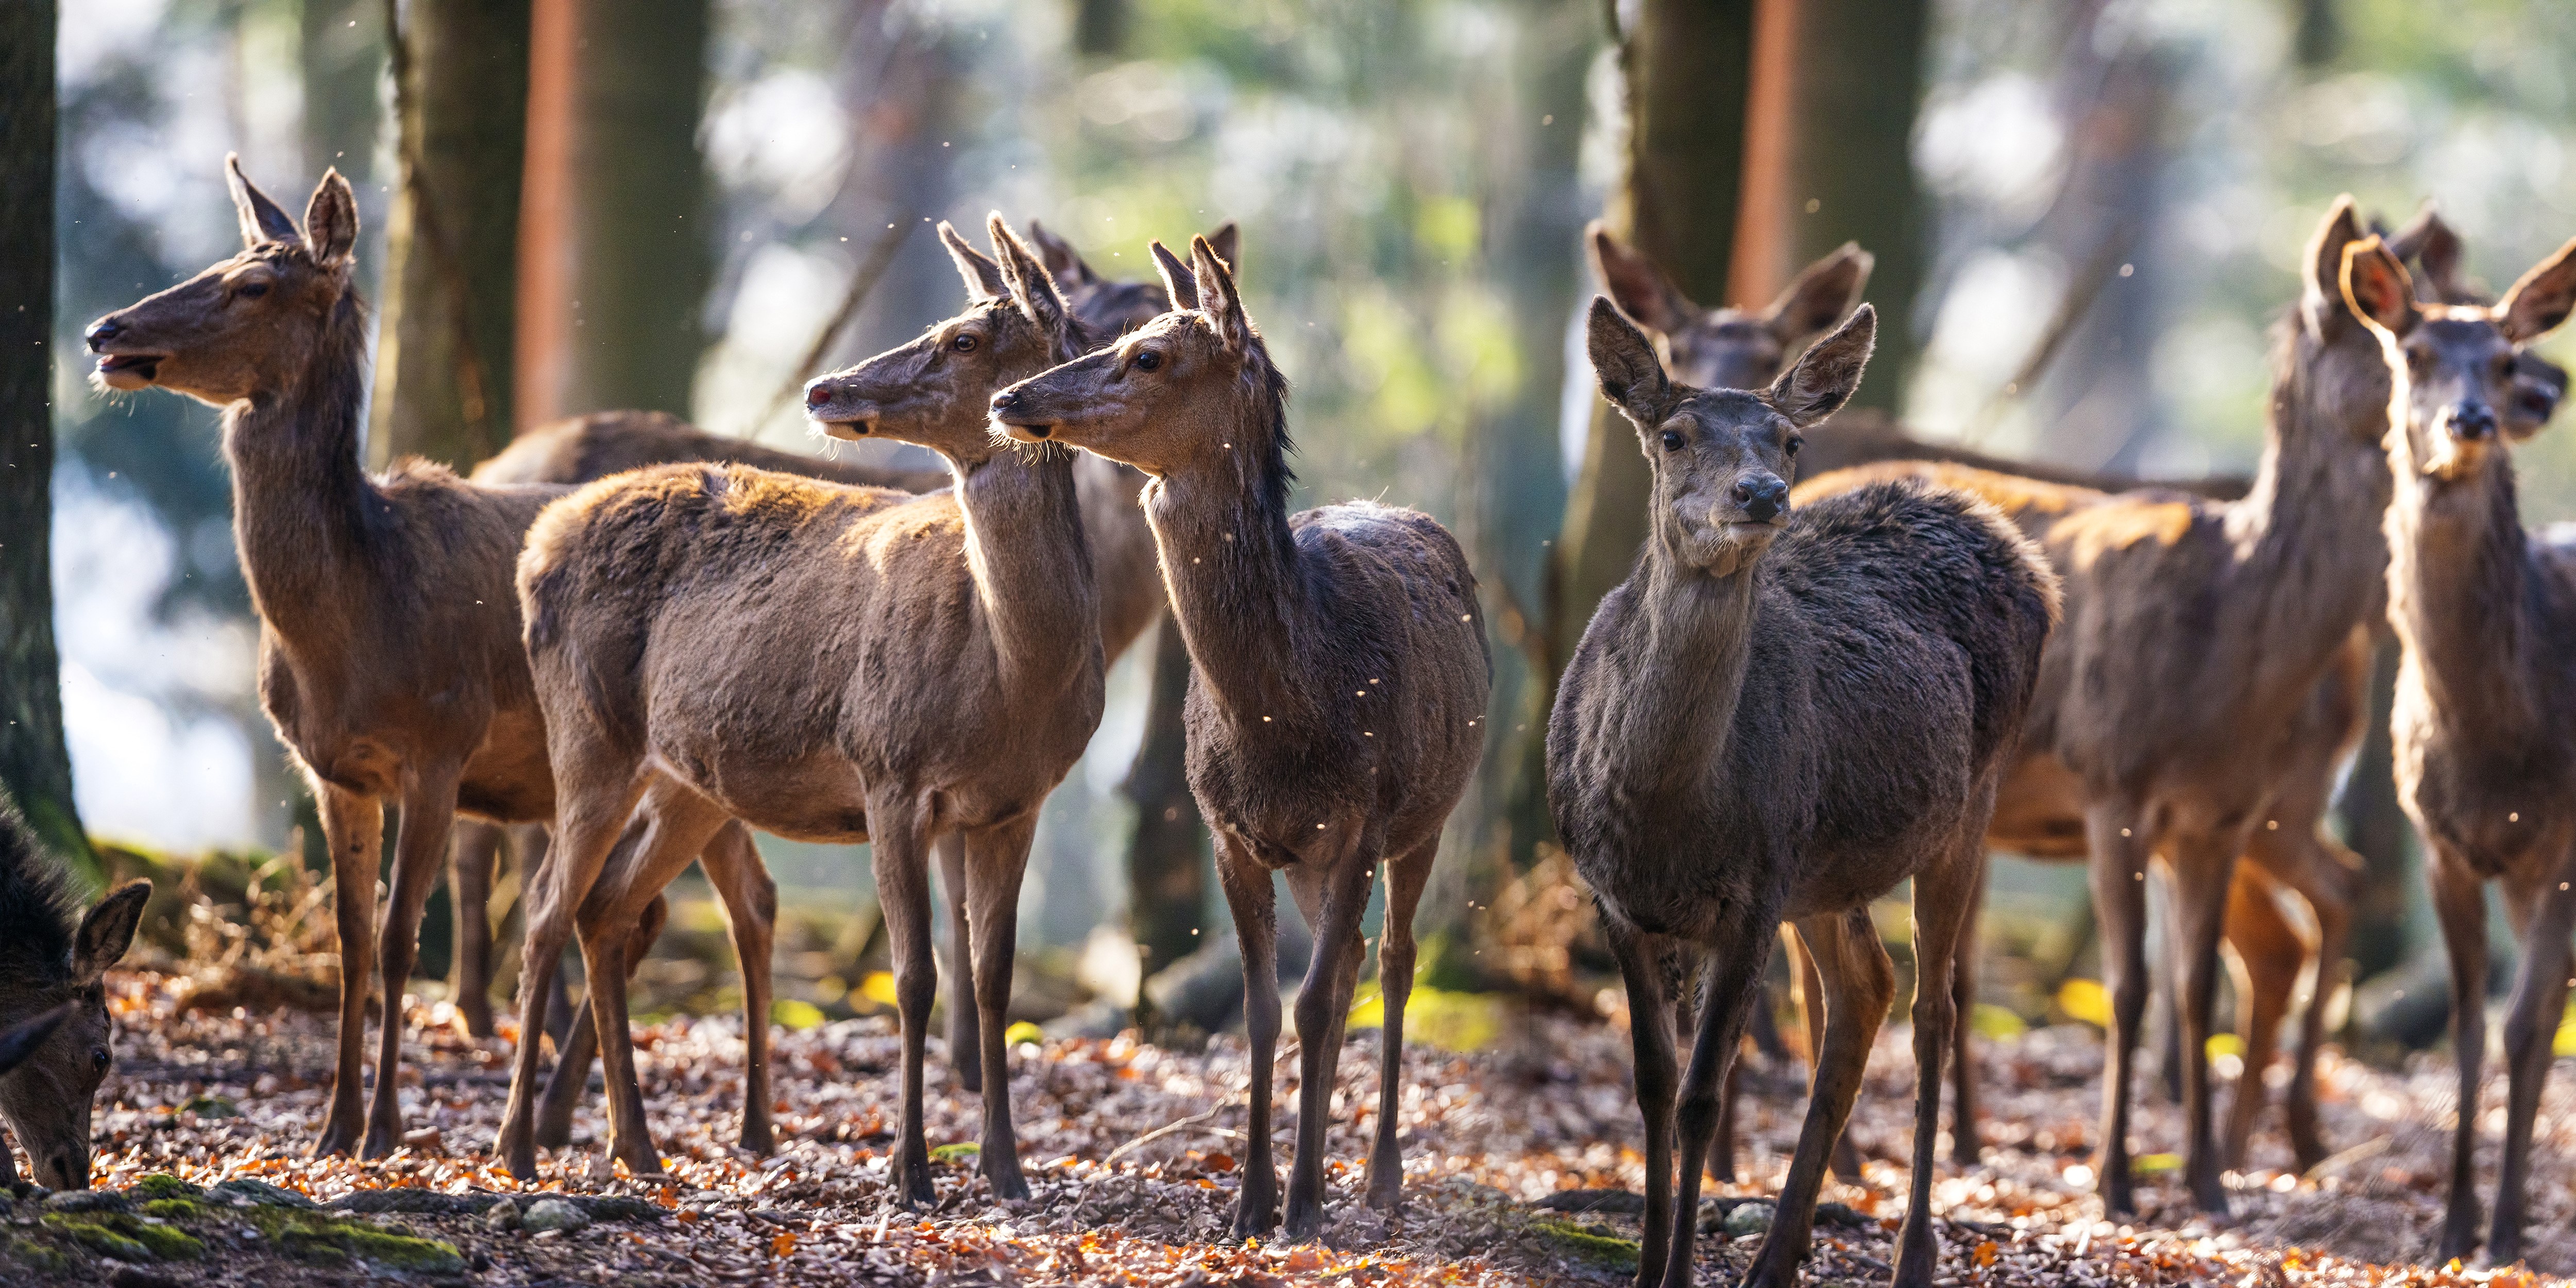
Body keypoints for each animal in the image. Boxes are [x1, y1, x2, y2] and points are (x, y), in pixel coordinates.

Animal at [81, 157, 790, 1162]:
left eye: (253, 284)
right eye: (219, 259)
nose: (106, 331)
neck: (350, 630)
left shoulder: (441, 748)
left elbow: (398, 939)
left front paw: (381, 1128)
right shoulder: (335, 770)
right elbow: (348, 939)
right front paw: (332, 1128)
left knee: (716, 905)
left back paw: (711, 1125)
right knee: (706, 903)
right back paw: (647, 1123)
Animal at [445, 223, 1221, 1120]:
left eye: (1143, 335)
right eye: (1098, 325)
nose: (826, 389)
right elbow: (938, 942)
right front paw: (958, 1081)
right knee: (538, 870)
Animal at [989, 234, 1491, 1240]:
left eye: (1148, 354)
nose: (1010, 400)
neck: (1288, 723)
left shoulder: (1362, 822)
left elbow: (1319, 1002)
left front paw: (1298, 1206)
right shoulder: (1231, 831)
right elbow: (1264, 1013)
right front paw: (1255, 1200)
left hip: (1428, 814)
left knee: (1393, 962)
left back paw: (1377, 1178)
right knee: (1346, 974)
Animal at [1550, 296, 2056, 1288]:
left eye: (1787, 440)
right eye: (1674, 435)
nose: (1759, 494)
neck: (1664, 813)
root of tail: (2022, 551)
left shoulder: (1752, 894)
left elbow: (1703, 1096)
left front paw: (1677, 1271)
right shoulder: (1613, 896)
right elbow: (1652, 1087)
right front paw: (1647, 1266)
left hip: (1963, 804)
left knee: (1931, 1008)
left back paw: (1913, 1254)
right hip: (1824, 866)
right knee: (1864, 988)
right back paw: (1778, 1257)